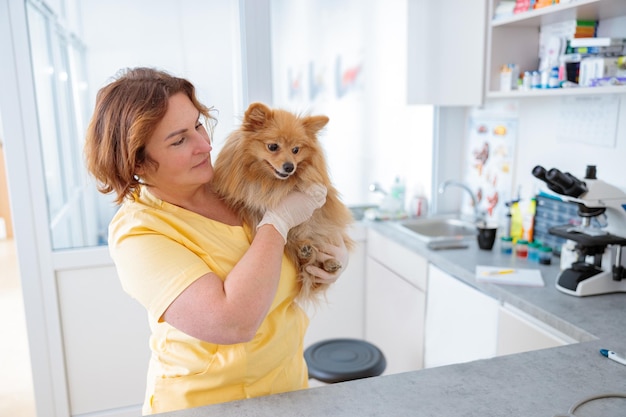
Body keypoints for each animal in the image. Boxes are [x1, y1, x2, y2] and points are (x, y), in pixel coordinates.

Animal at [212, 101, 354, 302]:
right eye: (273, 146)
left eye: (296, 150)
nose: (289, 167)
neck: (270, 180)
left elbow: (306, 178)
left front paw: (308, 187)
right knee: (303, 258)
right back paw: (306, 251)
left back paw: (329, 262)